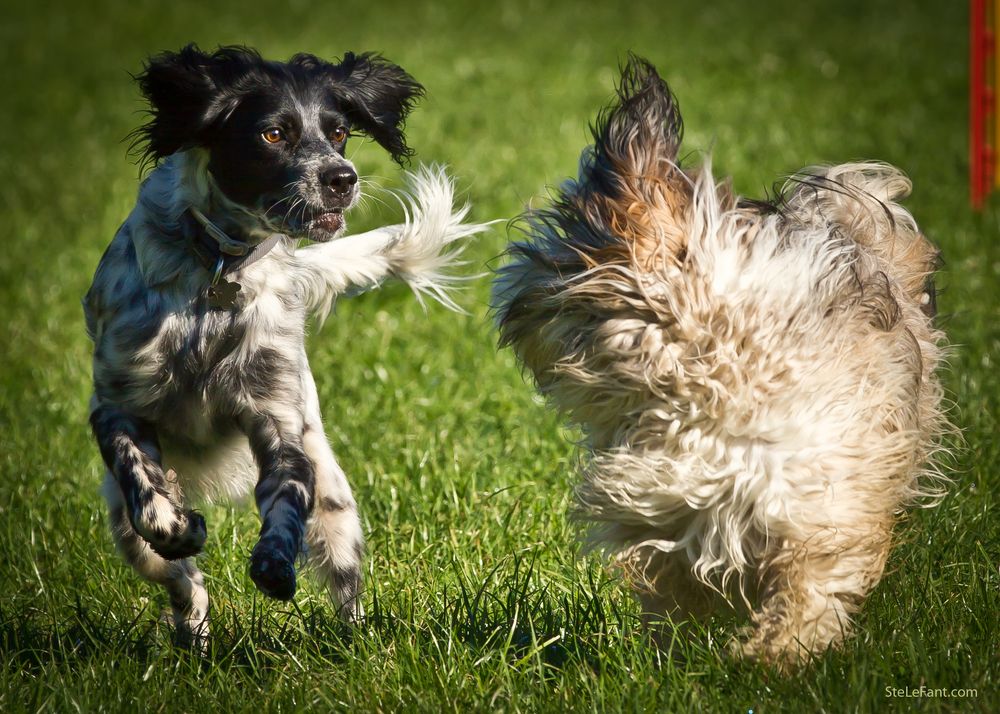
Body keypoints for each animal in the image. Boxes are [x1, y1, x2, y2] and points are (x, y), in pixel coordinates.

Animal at [86, 46, 484, 644]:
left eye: (339, 131)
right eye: (273, 134)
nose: (342, 178)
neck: (219, 273)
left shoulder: (276, 418)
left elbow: (287, 495)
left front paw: (274, 560)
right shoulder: (116, 405)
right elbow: (148, 498)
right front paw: (181, 526)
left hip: (337, 504)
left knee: (344, 581)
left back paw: (356, 645)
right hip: (127, 535)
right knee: (181, 581)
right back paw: (193, 635)